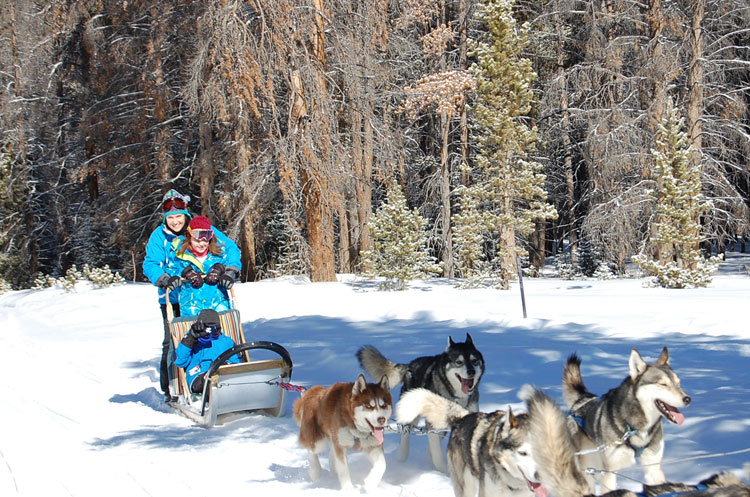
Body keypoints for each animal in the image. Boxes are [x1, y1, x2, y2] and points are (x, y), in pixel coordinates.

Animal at [358, 332, 488, 470]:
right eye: (459, 362)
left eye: (474, 361)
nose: (471, 371)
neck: (457, 397)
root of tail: (410, 366)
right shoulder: (433, 426)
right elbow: (438, 456)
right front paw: (442, 472)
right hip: (411, 416)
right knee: (405, 435)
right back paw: (402, 459)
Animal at [564, 346, 692, 490]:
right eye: (663, 384)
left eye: (679, 383)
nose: (687, 399)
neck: (634, 427)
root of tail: (582, 400)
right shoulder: (610, 472)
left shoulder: (653, 467)